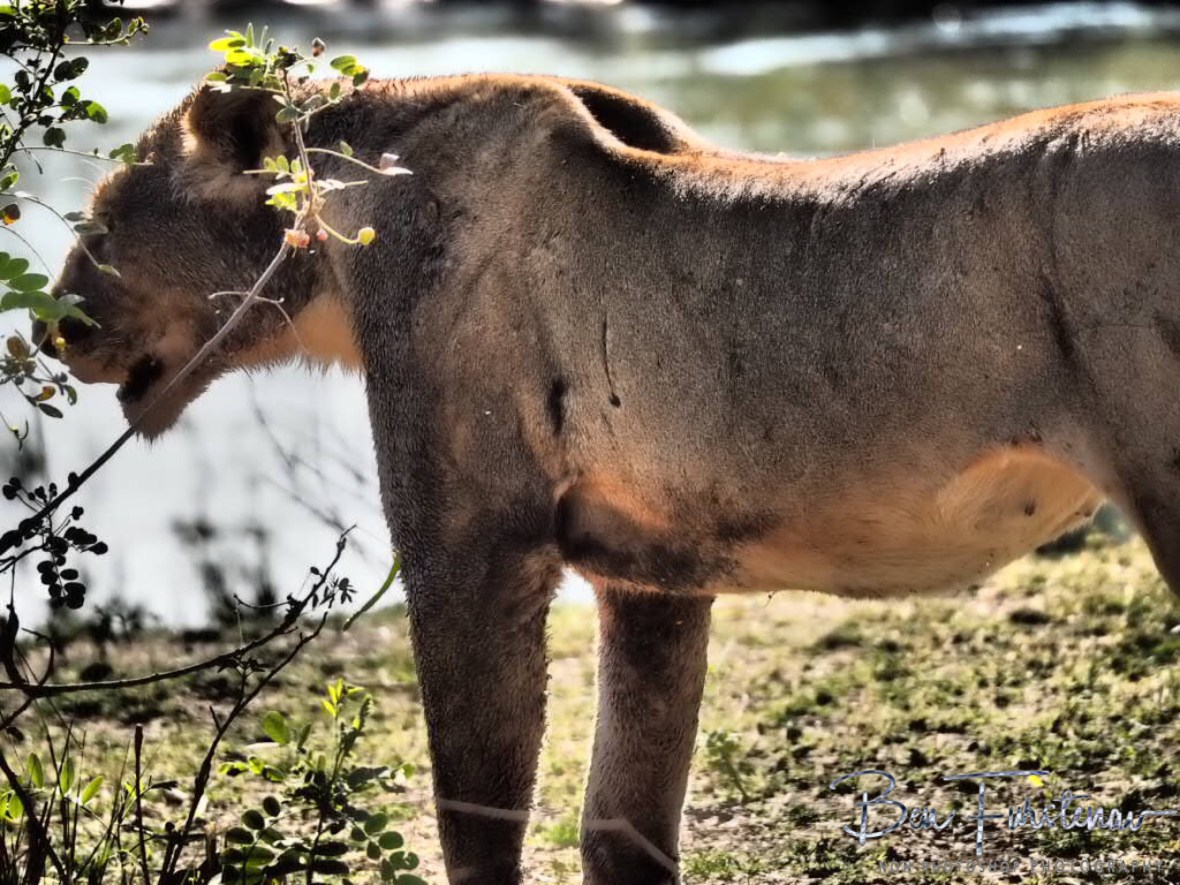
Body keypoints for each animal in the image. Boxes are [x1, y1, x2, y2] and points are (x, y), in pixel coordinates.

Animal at [40, 74, 1180, 883]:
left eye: (100, 223)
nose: (52, 329)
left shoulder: (472, 552)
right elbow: (621, 826)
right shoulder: (652, 576)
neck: (338, 252)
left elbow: (478, 817)